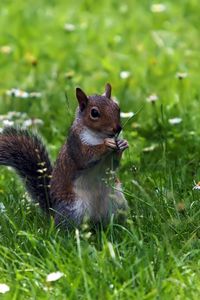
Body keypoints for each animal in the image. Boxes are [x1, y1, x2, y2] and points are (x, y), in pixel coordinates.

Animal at [0, 84, 128, 230]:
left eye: (117, 107)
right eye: (94, 113)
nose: (117, 128)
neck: (99, 136)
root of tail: (54, 212)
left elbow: (114, 163)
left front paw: (122, 144)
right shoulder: (76, 144)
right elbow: (86, 156)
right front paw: (107, 144)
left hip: (117, 201)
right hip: (73, 208)